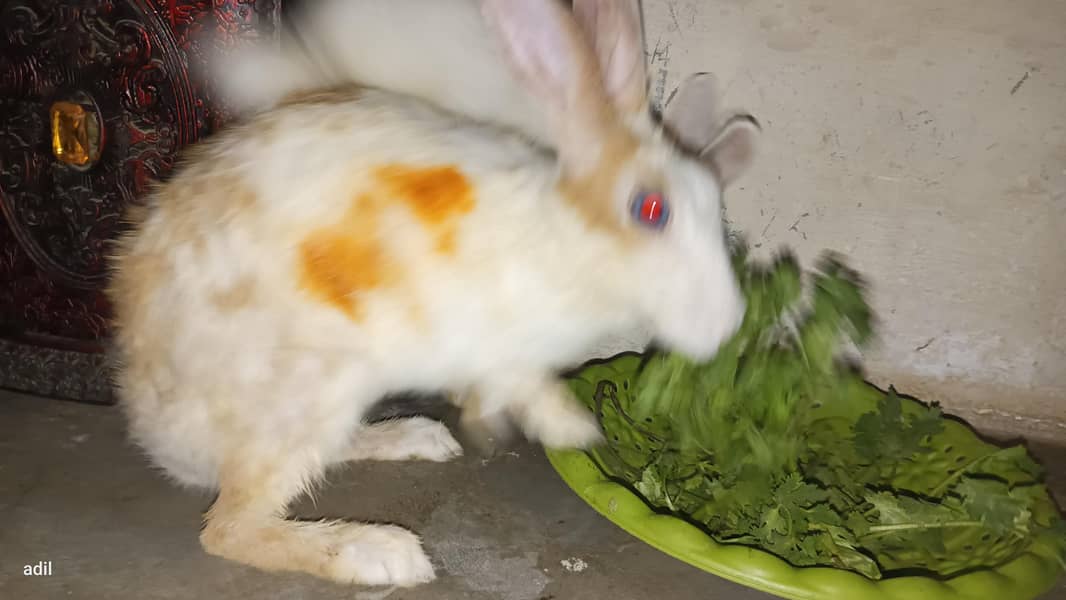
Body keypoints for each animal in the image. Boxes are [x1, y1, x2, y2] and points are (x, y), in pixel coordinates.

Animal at [108, 0, 760, 588]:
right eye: (651, 209)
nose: (728, 323)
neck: (562, 236)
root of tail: (157, 434)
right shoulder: (486, 341)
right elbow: (521, 384)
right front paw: (572, 430)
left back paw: (419, 438)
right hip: (308, 395)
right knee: (230, 528)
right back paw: (380, 553)